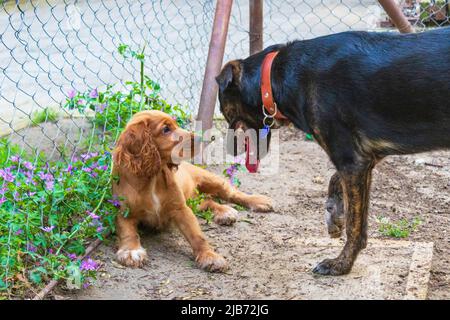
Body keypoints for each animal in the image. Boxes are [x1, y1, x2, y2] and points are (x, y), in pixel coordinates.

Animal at [112, 110, 274, 272]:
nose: (200, 139)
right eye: (166, 129)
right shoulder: (124, 212)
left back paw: (257, 202)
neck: (152, 179)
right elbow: (128, 233)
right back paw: (224, 212)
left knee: (232, 193)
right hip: (194, 200)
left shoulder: (180, 208)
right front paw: (131, 251)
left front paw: (210, 256)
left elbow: (197, 235)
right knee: (208, 201)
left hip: (211, 180)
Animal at [216, 27, 448, 276]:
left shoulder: (351, 160)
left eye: (223, 110)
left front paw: (341, 264)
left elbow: (355, 226)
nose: (228, 150)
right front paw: (334, 213)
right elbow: (336, 181)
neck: (271, 78)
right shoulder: (365, 158)